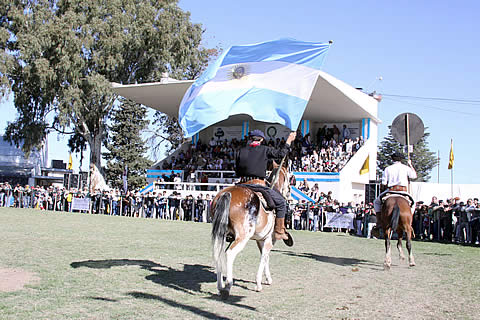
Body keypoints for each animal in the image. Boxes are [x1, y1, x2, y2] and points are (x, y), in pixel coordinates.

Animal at [211, 165, 292, 300]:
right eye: (290, 179)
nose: (289, 194)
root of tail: (227, 193)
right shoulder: (270, 239)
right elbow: (264, 256)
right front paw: (259, 284)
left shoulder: (261, 240)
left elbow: (265, 257)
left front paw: (268, 278)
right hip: (243, 237)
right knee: (230, 253)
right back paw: (227, 286)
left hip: (220, 234)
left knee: (218, 253)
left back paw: (220, 286)